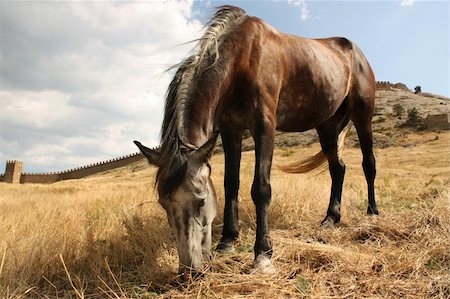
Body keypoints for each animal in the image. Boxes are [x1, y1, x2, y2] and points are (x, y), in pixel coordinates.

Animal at [134, 4, 380, 276]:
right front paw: (227, 241)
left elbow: (260, 188)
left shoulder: (264, 126)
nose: (189, 271)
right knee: (338, 169)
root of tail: (355, 51)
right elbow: (231, 184)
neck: (241, 59)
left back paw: (372, 213)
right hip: (327, 126)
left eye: (201, 201)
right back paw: (330, 218)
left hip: (362, 115)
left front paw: (263, 255)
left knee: (368, 163)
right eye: (164, 204)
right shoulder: (231, 129)